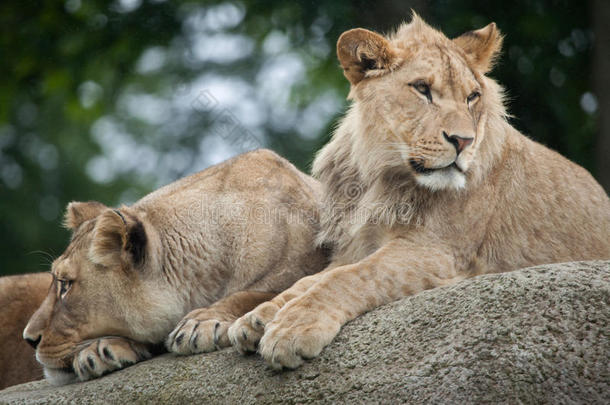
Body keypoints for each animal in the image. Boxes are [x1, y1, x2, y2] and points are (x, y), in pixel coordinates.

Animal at [227, 15, 608, 370]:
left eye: (472, 97)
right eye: (422, 89)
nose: (463, 141)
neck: (381, 176)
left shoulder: (436, 252)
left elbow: (349, 277)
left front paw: (292, 328)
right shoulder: (356, 246)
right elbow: (310, 279)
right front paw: (257, 318)